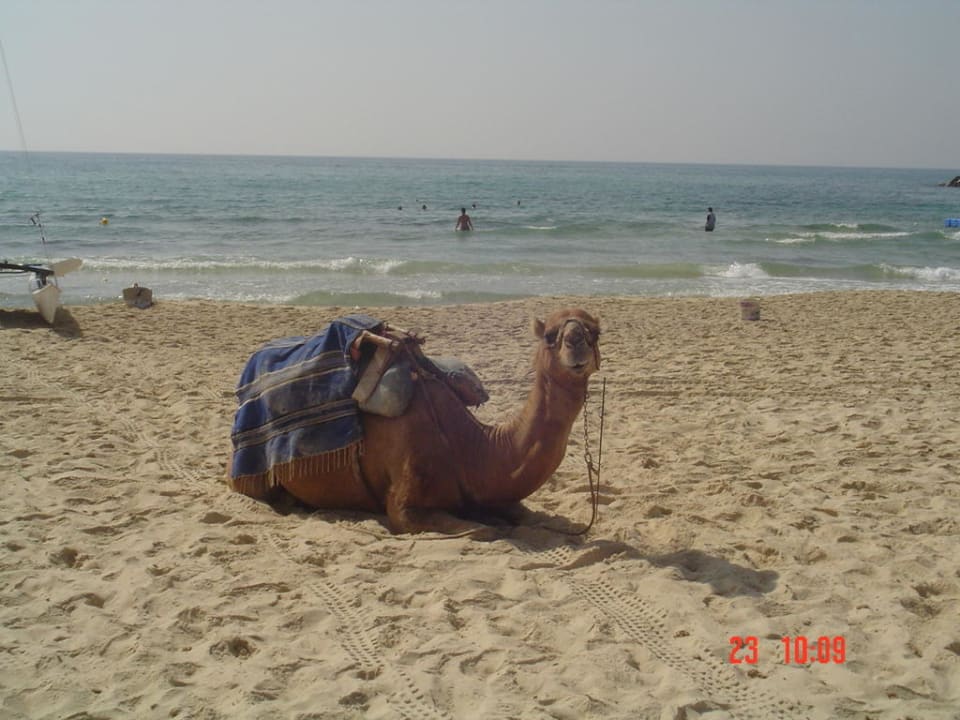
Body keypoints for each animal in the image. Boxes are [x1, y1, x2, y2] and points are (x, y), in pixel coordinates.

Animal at [227, 308, 601, 535]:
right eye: (550, 335)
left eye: (595, 332)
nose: (575, 343)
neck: (473, 448)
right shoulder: (405, 506)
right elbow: (478, 529)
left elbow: (523, 514)